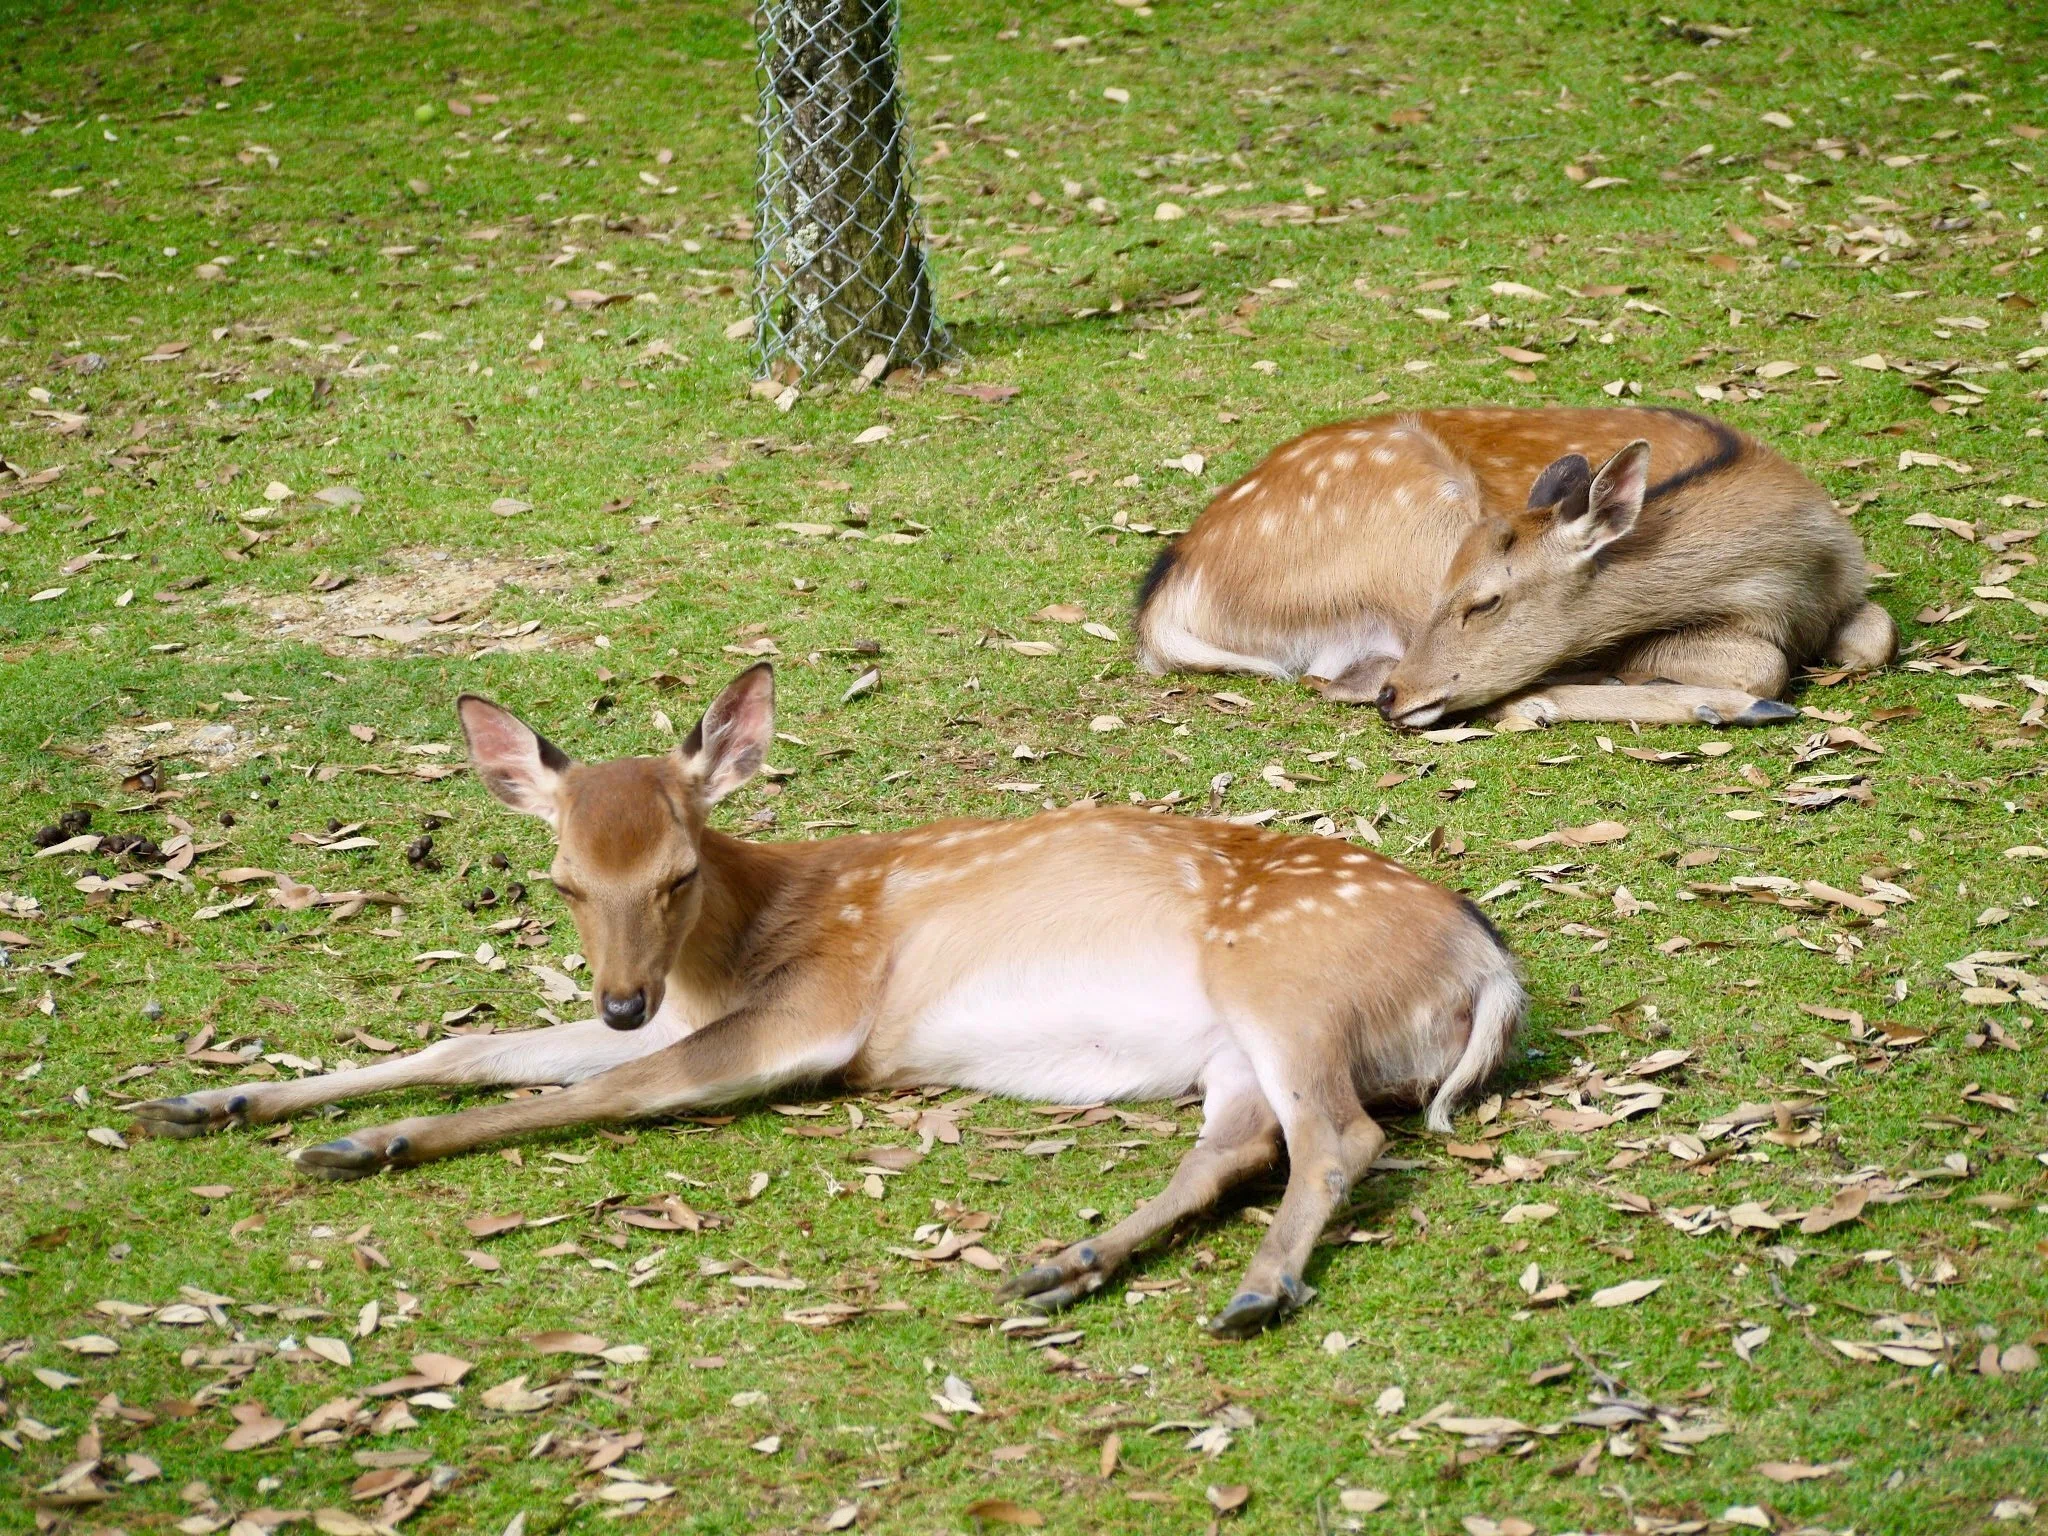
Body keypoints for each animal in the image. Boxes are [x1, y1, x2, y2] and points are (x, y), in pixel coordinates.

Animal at [133, 664, 1524, 1337]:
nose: (623, 998)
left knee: (1339, 1138)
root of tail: (1493, 973)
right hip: (1233, 1046)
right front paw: (210, 1103)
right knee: (1239, 1150)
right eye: (563, 880)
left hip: (1285, 984)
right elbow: (473, 1044)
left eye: (678, 870)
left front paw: (366, 1145)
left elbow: (608, 1094)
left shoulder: (820, 1011)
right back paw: (1061, 1269)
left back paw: (1250, 1296)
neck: (733, 945)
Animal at [1135, 406, 1896, 730]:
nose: (1397, 700)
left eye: (1485, 602)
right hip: (1419, 527)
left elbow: (1877, 635)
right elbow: (1756, 661)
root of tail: (1167, 598)